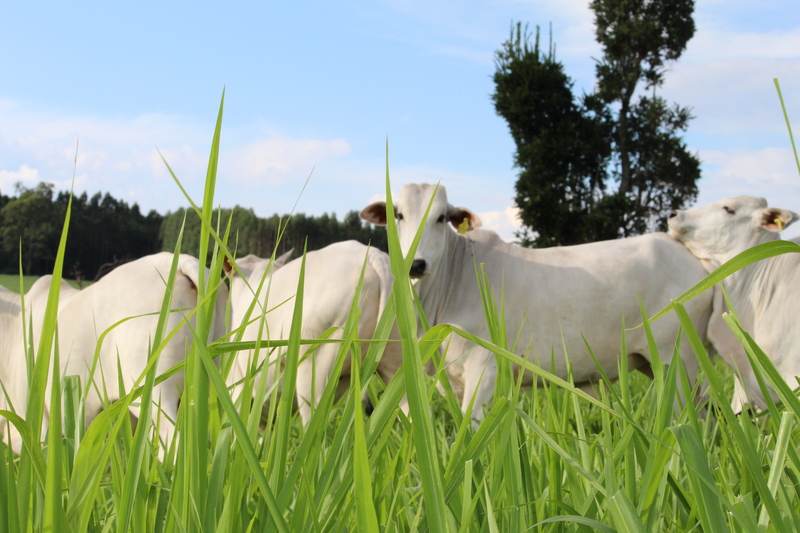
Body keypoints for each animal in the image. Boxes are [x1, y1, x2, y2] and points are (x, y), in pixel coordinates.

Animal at [360, 185, 712, 418]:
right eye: (398, 215)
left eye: (441, 217)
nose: (416, 264)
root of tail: (685, 253)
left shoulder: (483, 368)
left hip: (677, 359)